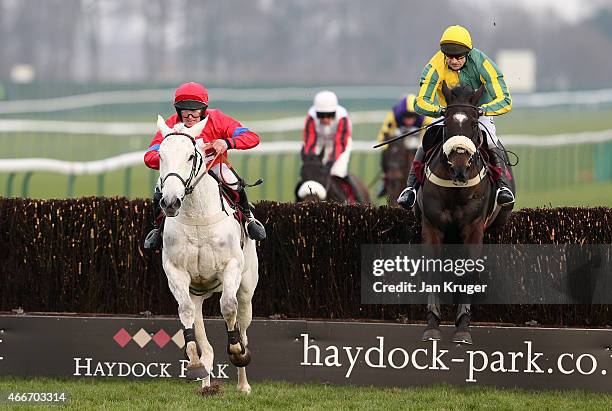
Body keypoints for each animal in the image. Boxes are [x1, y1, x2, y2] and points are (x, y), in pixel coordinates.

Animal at [155, 114, 258, 394]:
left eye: (191, 155)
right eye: (160, 155)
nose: (170, 202)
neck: (197, 217)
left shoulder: (231, 266)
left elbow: (228, 306)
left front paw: (237, 352)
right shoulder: (176, 272)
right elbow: (185, 311)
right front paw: (193, 364)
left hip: (247, 287)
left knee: (244, 326)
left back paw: (243, 383)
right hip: (198, 293)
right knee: (205, 341)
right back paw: (206, 381)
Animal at [416, 80, 516, 344]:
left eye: (472, 123)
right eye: (447, 123)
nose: (460, 169)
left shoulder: (473, 229)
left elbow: (468, 271)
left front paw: (463, 326)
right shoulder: (432, 226)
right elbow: (433, 271)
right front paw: (432, 324)